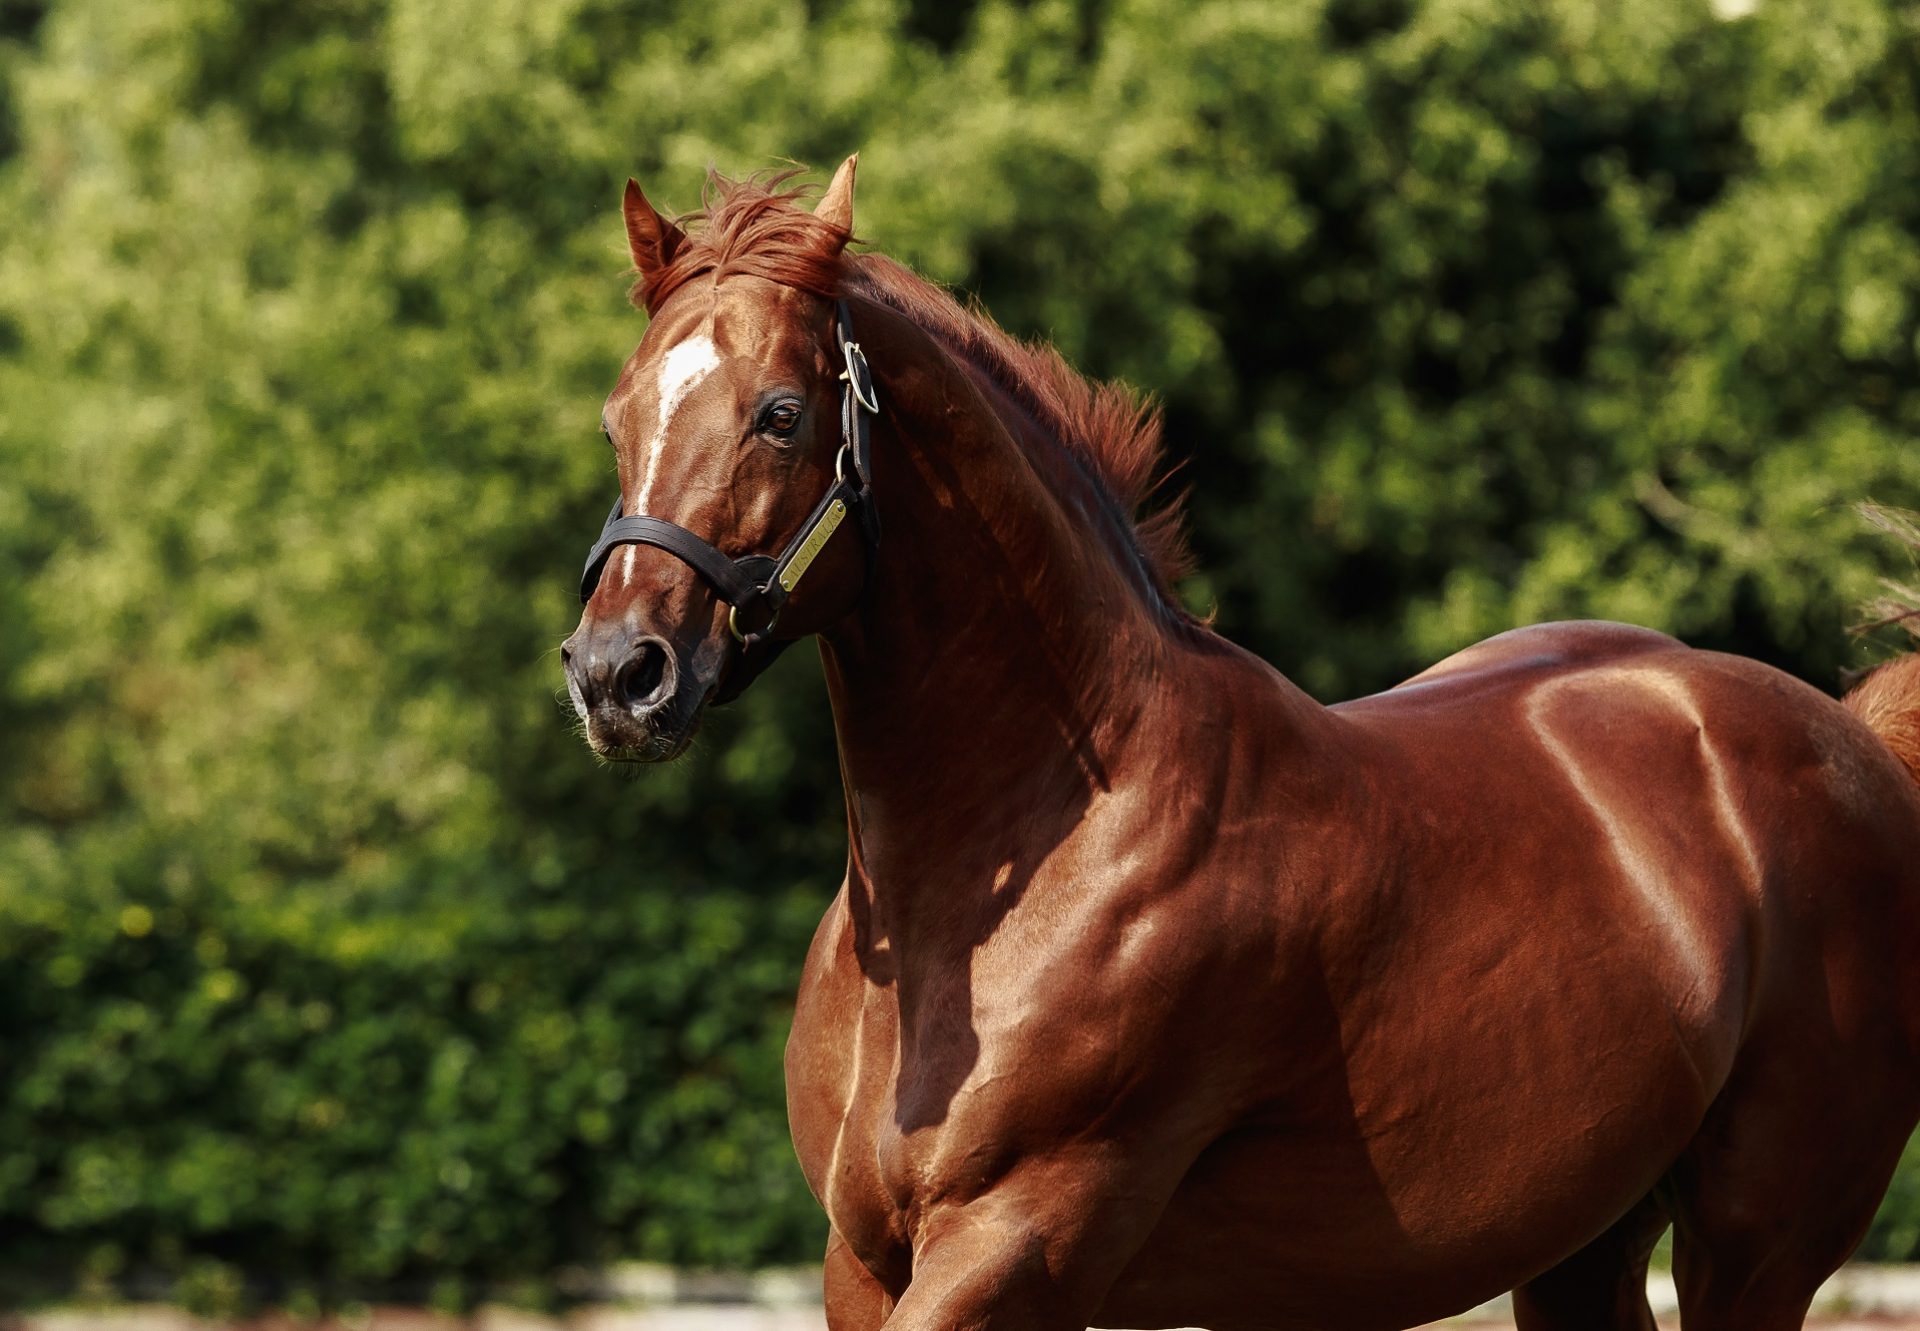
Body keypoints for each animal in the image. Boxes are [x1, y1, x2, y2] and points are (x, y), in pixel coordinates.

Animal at [560, 158, 1920, 1329]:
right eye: (618, 416)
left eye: (782, 414)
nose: (619, 674)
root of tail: (1856, 742)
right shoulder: (861, 1261)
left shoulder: (1019, 1242)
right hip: (1582, 1245)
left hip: (1758, 1243)